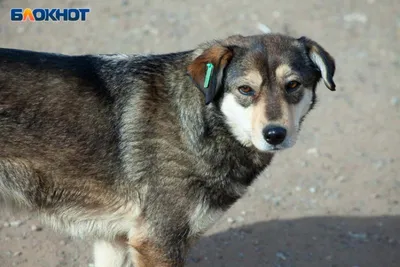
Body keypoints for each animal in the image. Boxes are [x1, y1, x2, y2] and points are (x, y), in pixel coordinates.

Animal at [0, 34, 336, 267]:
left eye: (293, 85)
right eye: (245, 90)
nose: (275, 134)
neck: (204, 123)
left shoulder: (114, 241)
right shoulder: (157, 242)